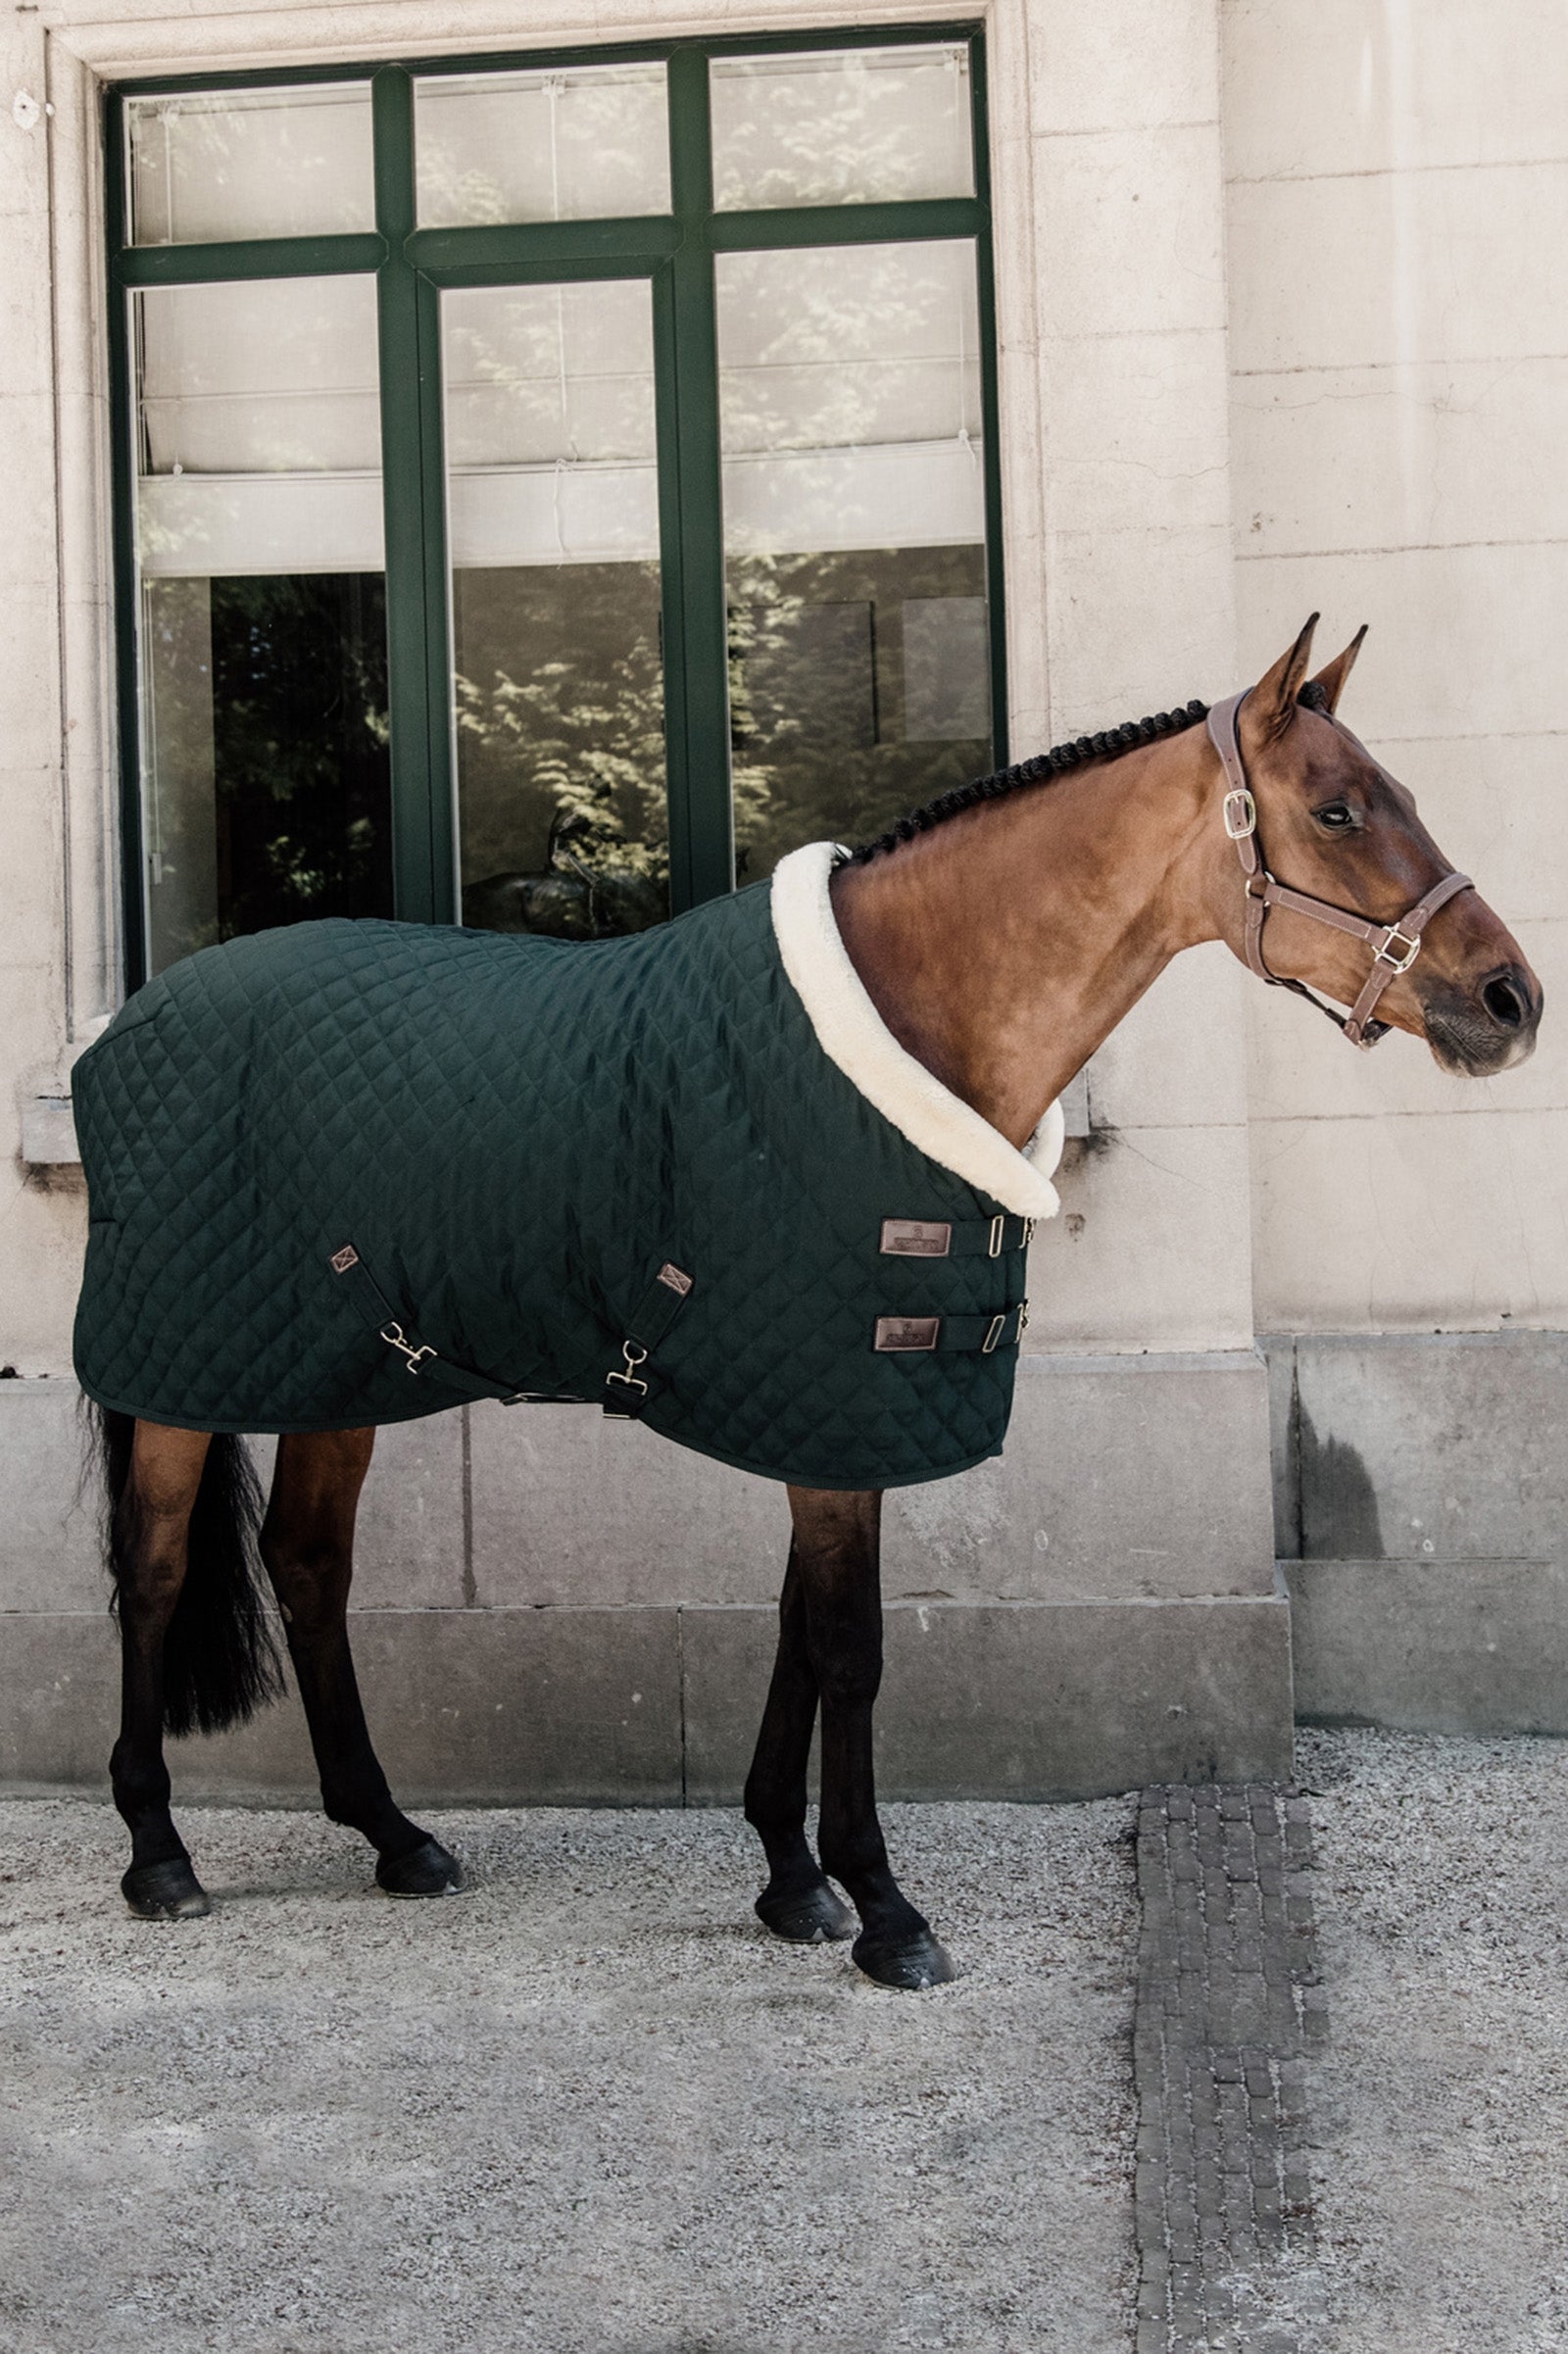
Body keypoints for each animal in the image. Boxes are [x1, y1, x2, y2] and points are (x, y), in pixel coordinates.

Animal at [80, 616, 1541, 1989]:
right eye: (1337, 809)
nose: (1509, 996)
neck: (906, 1023)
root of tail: (129, 1028)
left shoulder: (830, 1409)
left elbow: (797, 1629)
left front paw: (792, 1878)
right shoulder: (838, 1402)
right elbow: (849, 1646)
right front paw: (884, 1909)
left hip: (345, 1369)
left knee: (307, 1566)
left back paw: (393, 1834)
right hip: (180, 1374)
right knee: (152, 1569)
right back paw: (157, 1853)